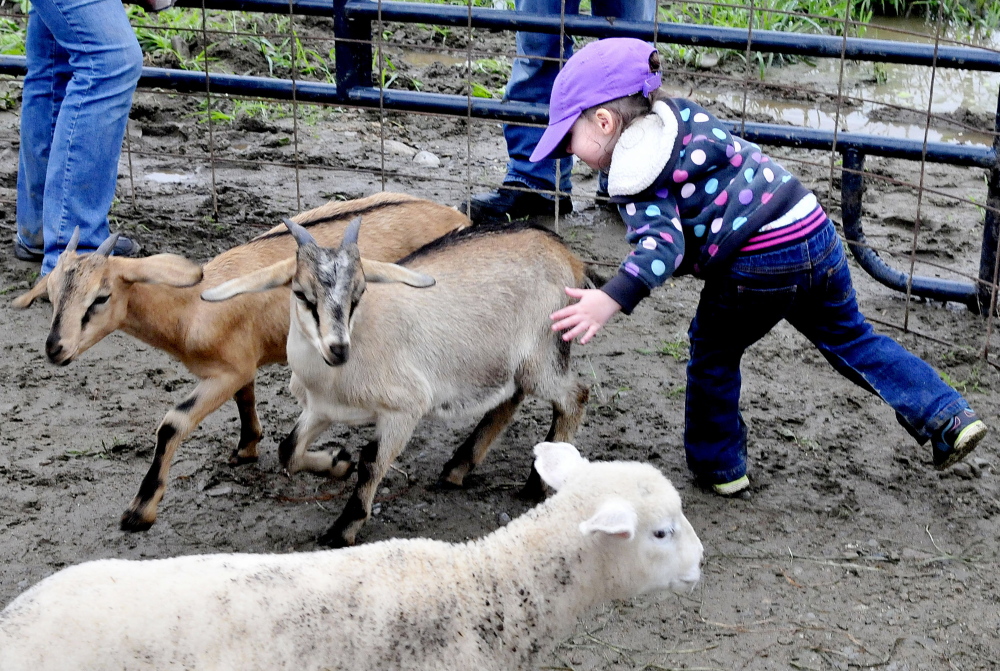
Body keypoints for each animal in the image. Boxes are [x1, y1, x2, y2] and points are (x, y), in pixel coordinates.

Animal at [13, 192, 468, 532]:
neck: (191, 309)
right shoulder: (239, 364)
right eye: (51, 295)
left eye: (101, 297)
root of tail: (458, 215)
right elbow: (246, 399)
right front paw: (247, 447)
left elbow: (173, 423)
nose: (55, 349)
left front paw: (139, 512)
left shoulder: (223, 373)